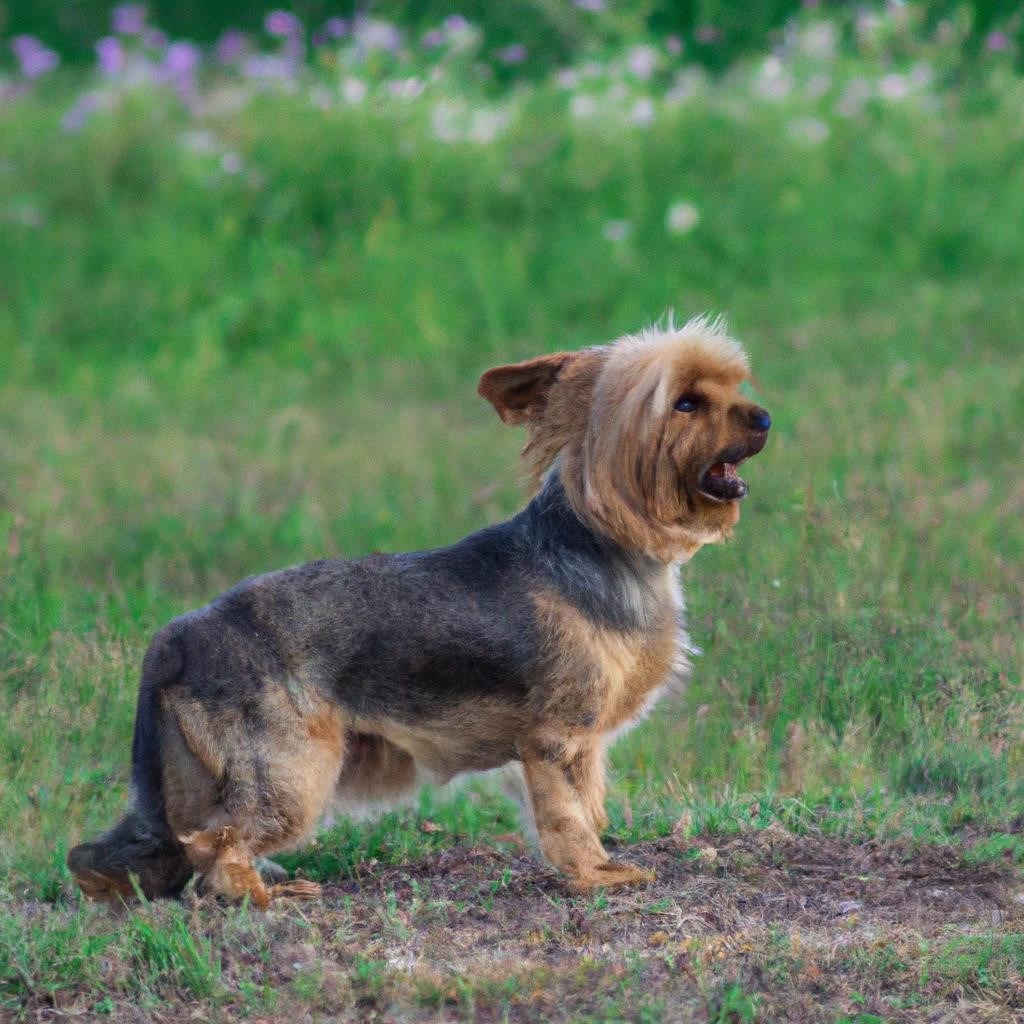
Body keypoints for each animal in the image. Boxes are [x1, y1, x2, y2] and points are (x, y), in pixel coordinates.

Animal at [68, 317, 770, 905]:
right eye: (686, 402)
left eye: (734, 385)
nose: (764, 417)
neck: (601, 542)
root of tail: (176, 637)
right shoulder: (553, 739)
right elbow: (567, 816)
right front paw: (596, 874)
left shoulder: (584, 747)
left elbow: (589, 805)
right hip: (290, 772)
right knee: (213, 843)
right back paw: (265, 896)